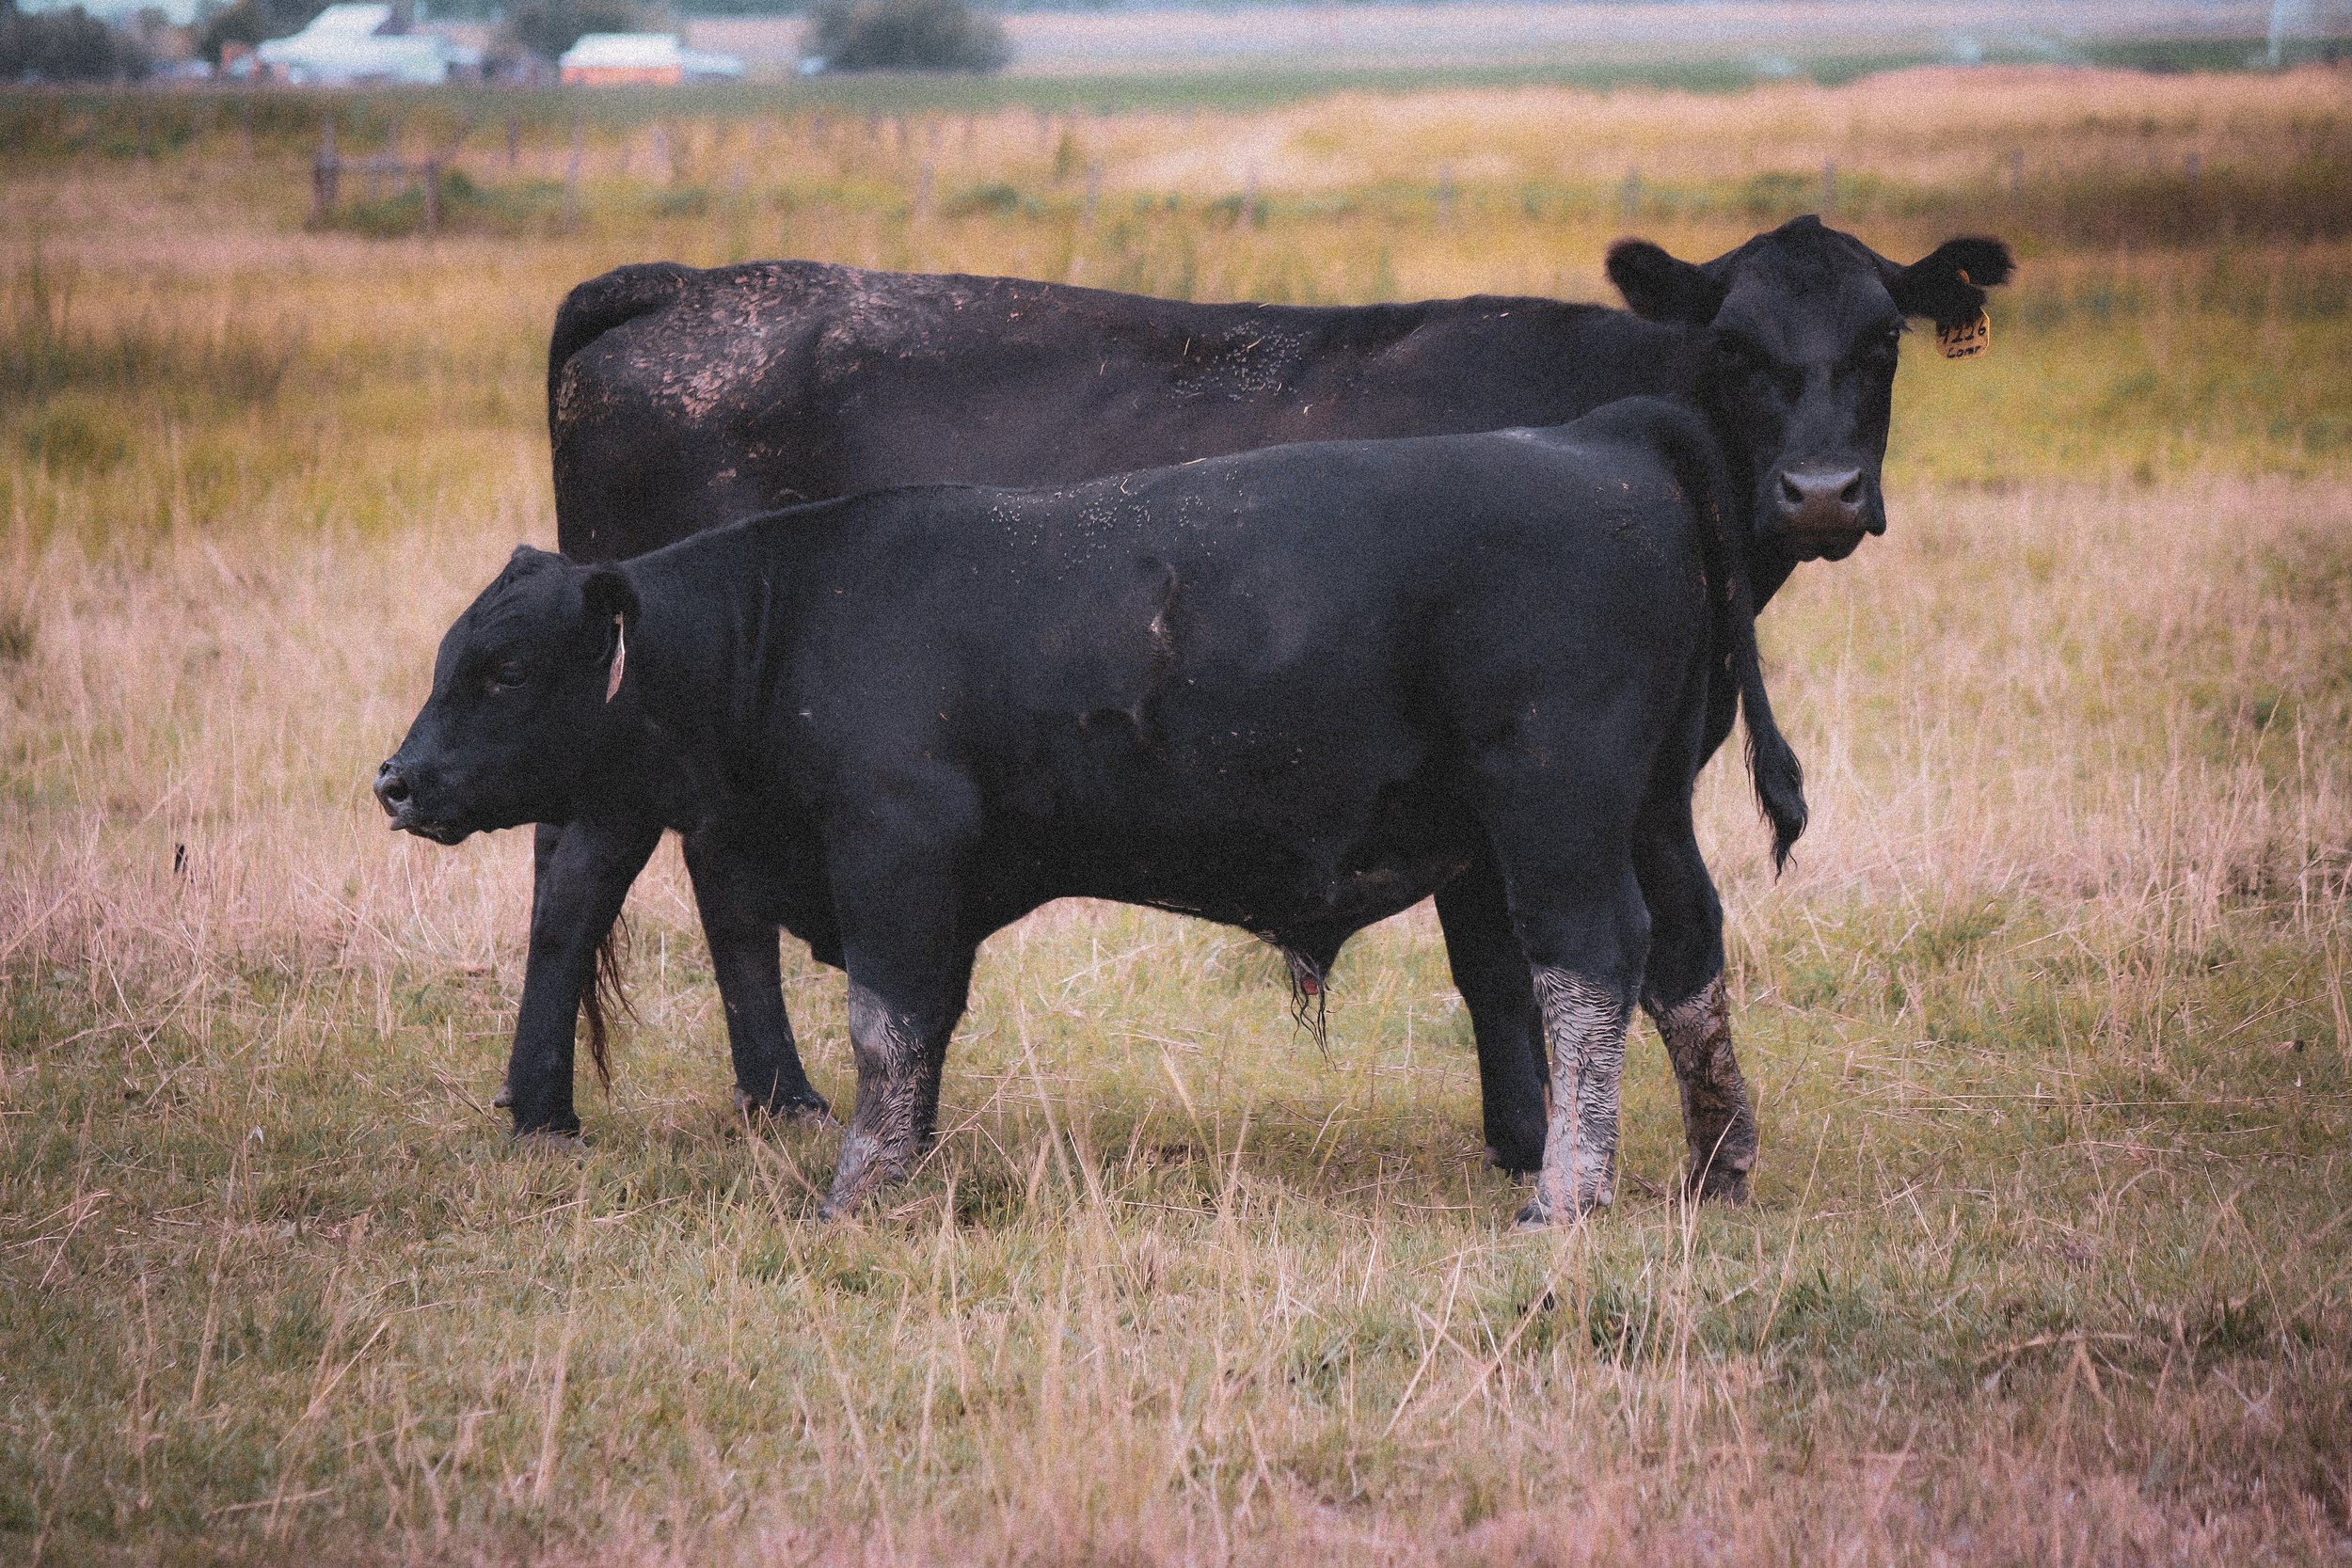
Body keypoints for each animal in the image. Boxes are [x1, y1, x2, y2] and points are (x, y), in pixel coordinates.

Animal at [376, 396, 1810, 1225]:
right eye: (452, 655)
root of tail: (1599, 435)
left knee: (1591, 963)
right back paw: (1719, 1163)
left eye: (504, 669)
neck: (797, 612)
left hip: (1558, 805)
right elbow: (922, 1028)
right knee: (1688, 957)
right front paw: (904, 1159)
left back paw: (1569, 1189)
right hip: (1651, 808)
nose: (395, 779)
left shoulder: (893, 848)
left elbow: (886, 1023)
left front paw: (858, 1189)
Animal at [521, 215, 2012, 1195]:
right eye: (1741, 343)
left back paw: (778, 1096)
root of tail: (687, 288)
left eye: (1881, 342)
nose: (1820, 491)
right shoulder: (1501, 793)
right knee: (578, 869)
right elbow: (1504, 965)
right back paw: (543, 1109)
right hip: (626, 728)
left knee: (721, 890)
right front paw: (1528, 1144)